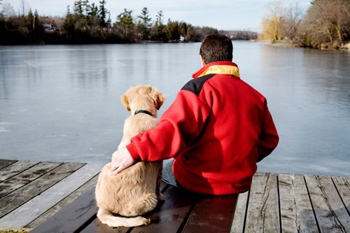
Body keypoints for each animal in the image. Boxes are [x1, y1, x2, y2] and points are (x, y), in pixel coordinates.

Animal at [94, 85, 165, 228]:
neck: (142, 113)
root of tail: (104, 207)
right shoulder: (159, 164)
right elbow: (158, 183)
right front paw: (161, 196)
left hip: (105, 168)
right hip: (149, 199)